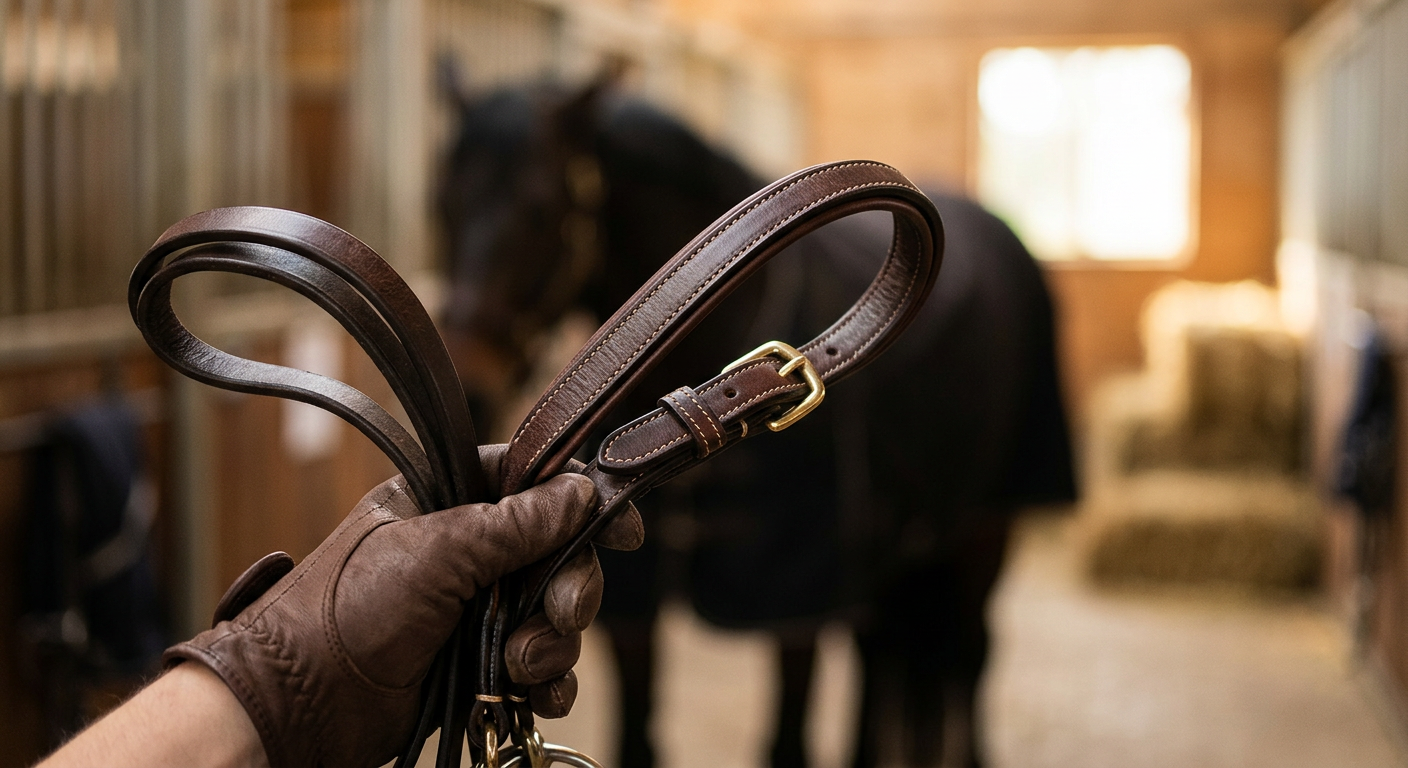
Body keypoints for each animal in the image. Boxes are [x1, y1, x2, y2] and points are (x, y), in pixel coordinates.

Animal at [437, 77, 1076, 768]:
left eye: (540, 208)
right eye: (441, 200)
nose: (470, 385)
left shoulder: (796, 600)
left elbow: (787, 740)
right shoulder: (635, 612)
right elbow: (637, 735)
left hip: (986, 526)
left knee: (969, 652)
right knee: (886, 659)